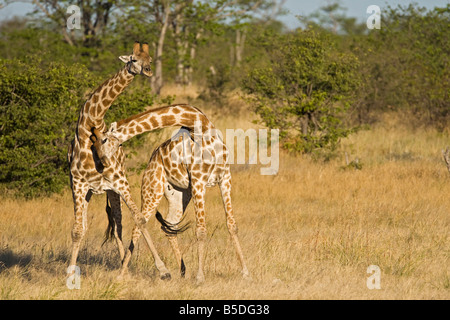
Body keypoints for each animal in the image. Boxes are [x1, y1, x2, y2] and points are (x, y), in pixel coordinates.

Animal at [95, 105, 250, 282]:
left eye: (104, 140)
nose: (102, 162)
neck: (201, 126)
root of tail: (150, 165)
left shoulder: (225, 177)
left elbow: (232, 225)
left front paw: (246, 273)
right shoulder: (198, 180)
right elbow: (201, 230)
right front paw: (200, 277)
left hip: (179, 195)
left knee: (169, 226)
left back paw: (183, 271)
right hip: (152, 190)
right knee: (138, 226)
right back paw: (122, 273)